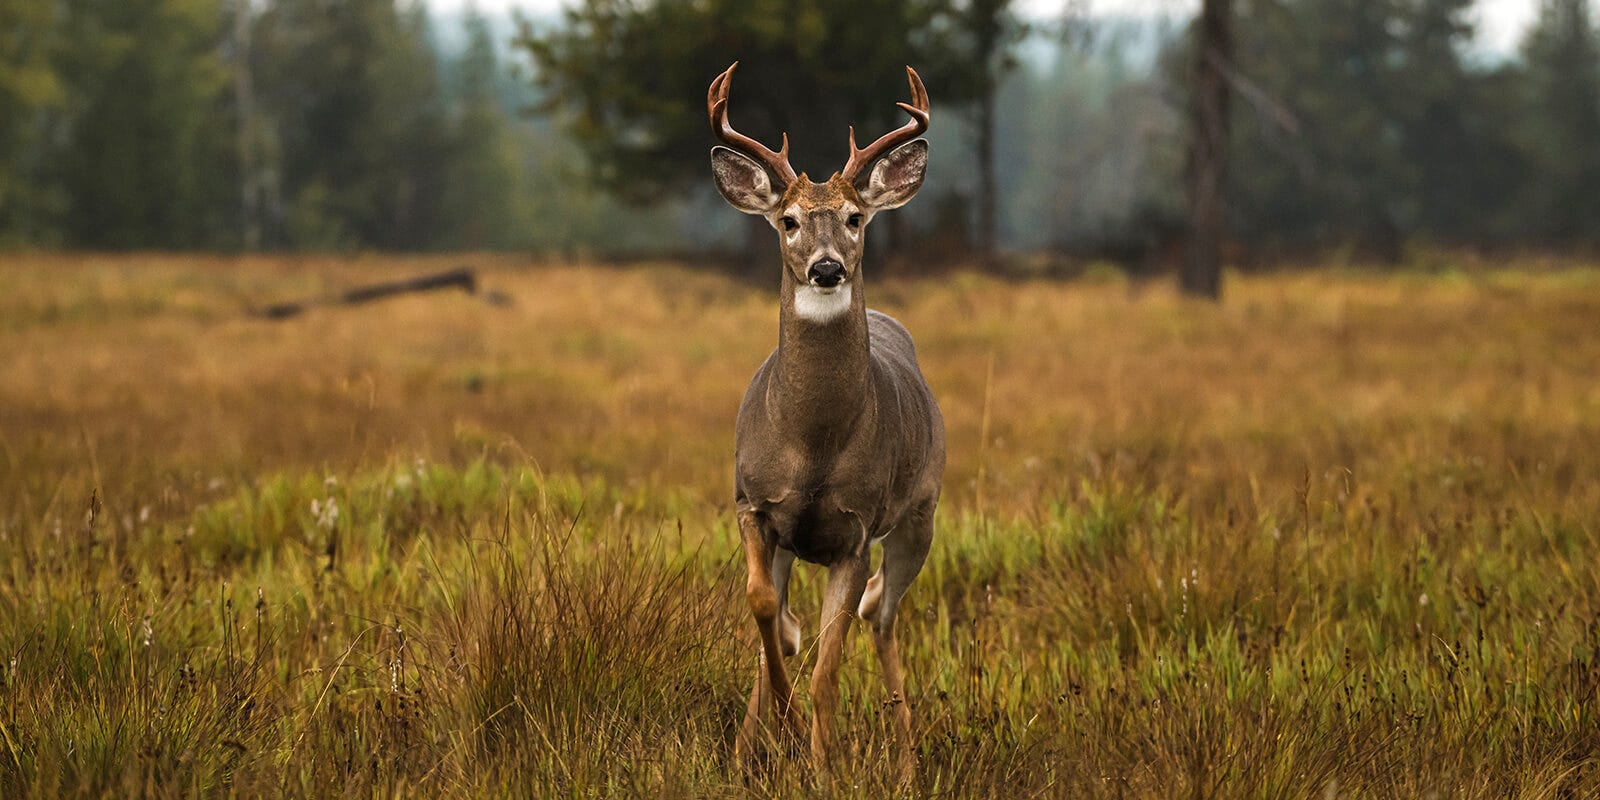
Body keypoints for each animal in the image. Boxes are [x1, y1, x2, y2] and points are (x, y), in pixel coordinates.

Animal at [707, 61, 945, 781]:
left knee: (882, 613)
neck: (812, 445)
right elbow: (768, 617)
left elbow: (827, 670)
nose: (827, 266)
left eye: (853, 217)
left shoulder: (856, 529)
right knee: (794, 621)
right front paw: (773, 734)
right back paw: (747, 750)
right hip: (792, 542)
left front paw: (821, 764)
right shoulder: (753, 505)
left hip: (920, 514)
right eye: (787, 220)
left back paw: (907, 764)